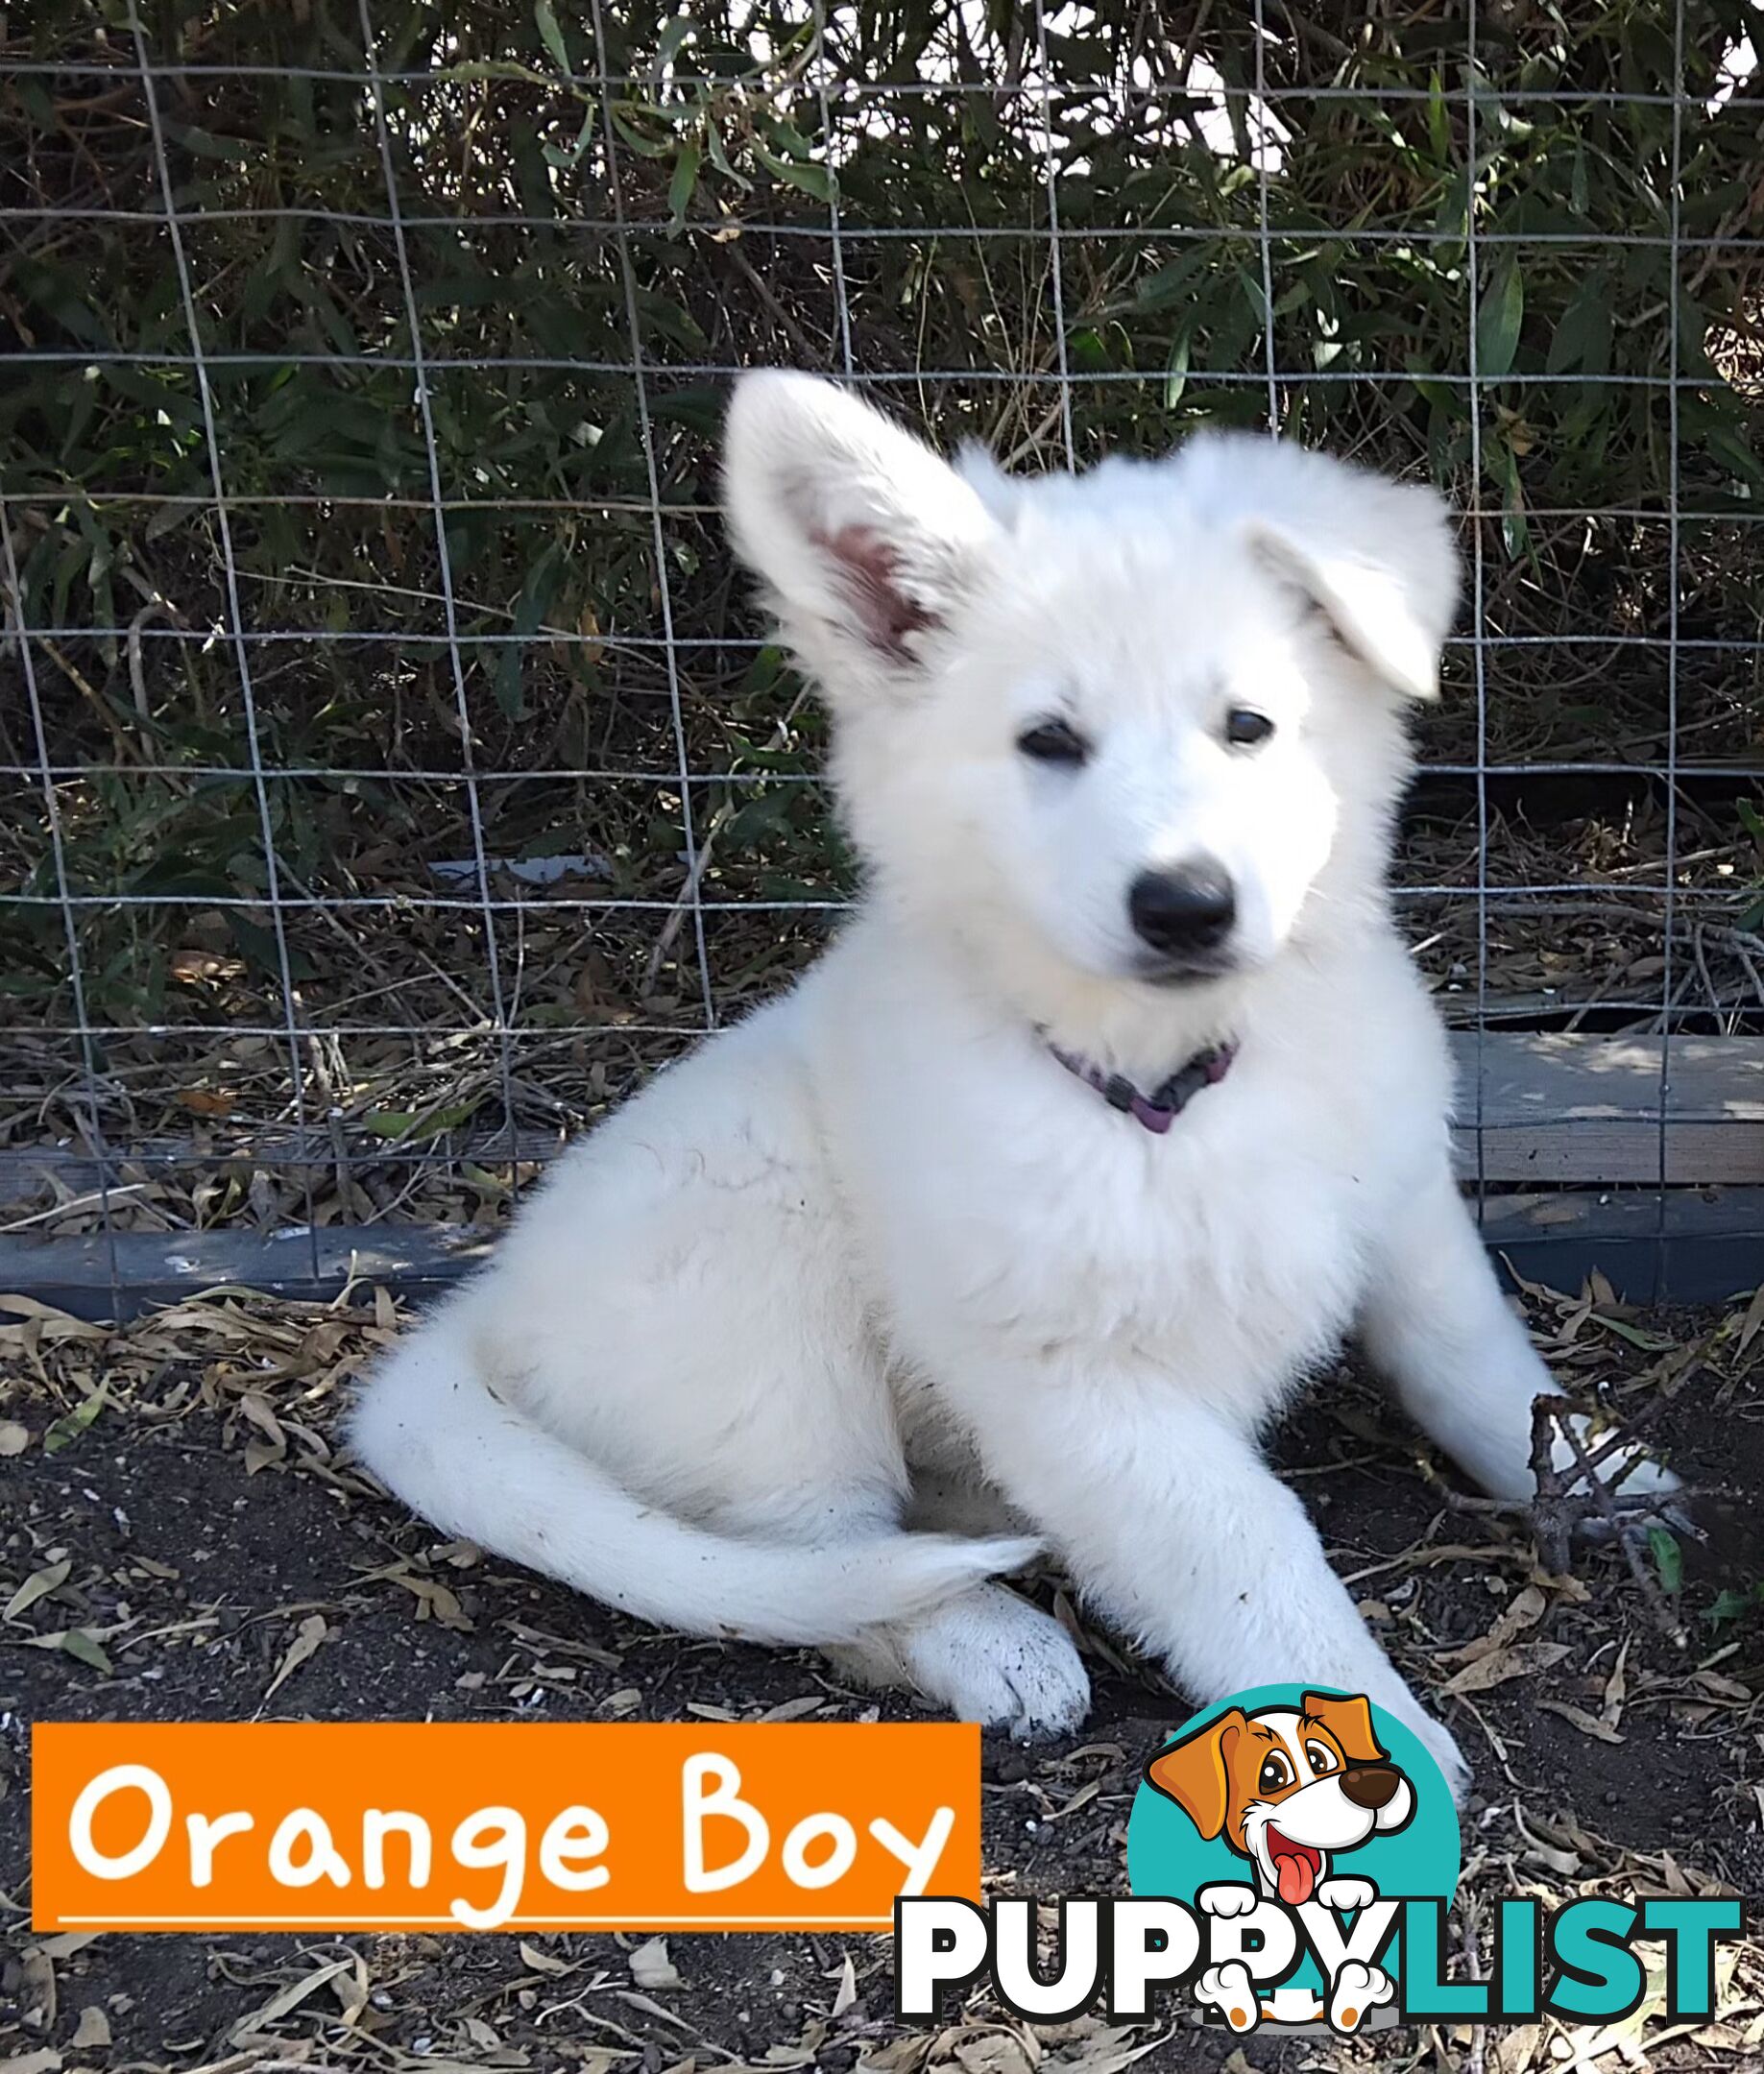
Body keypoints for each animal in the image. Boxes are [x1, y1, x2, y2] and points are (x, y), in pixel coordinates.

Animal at [350, 369, 1668, 1783]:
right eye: (1048, 742)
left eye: (1247, 727)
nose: (1186, 906)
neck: (1168, 1089)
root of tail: (481, 1310)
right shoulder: (1075, 1386)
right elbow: (1244, 1545)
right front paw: (1360, 1723)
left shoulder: (1402, 1214)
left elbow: (1476, 1362)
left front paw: (1596, 1470)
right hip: (761, 1276)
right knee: (825, 1568)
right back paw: (994, 1644)